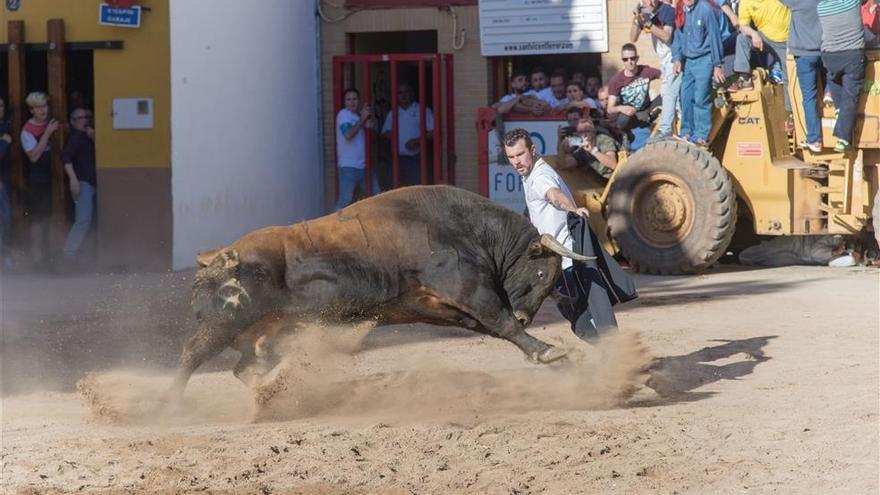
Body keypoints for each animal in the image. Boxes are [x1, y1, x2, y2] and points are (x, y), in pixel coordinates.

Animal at [167, 184, 592, 402]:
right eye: (541, 273)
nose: (526, 316)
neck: (467, 229)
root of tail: (219, 256)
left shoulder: (440, 306)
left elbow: (493, 327)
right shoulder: (469, 289)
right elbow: (501, 322)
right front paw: (549, 351)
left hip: (262, 332)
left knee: (244, 366)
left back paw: (274, 392)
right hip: (223, 322)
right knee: (191, 354)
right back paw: (170, 403)